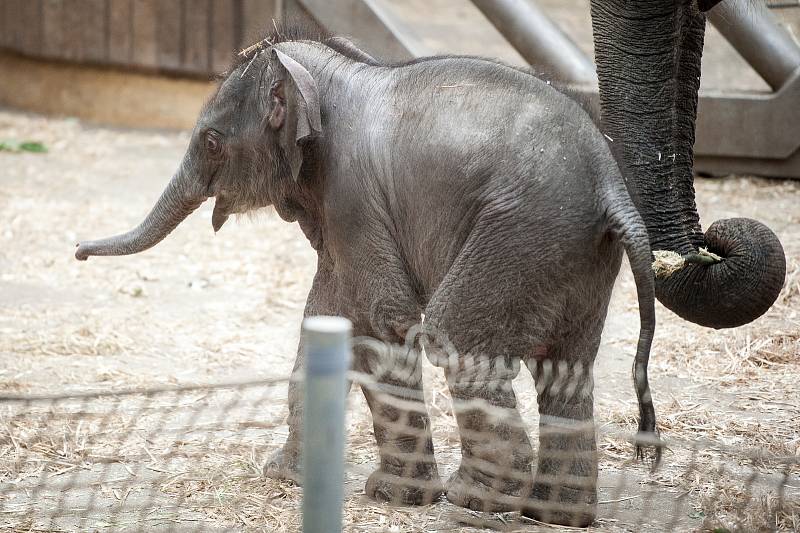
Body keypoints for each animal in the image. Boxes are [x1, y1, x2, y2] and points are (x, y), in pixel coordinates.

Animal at [78, 23, 660, 524]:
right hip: (571, 252)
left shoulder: (352, 196)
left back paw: (474, 503)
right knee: (566, 366)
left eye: (212, 141)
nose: (79, 252)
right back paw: (555, 515)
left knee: (457, 336)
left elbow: (379, 324)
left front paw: (392, 497)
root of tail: (611, 185)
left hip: (522, 233)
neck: (334, 76)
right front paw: (287, 476)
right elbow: (326, 322)